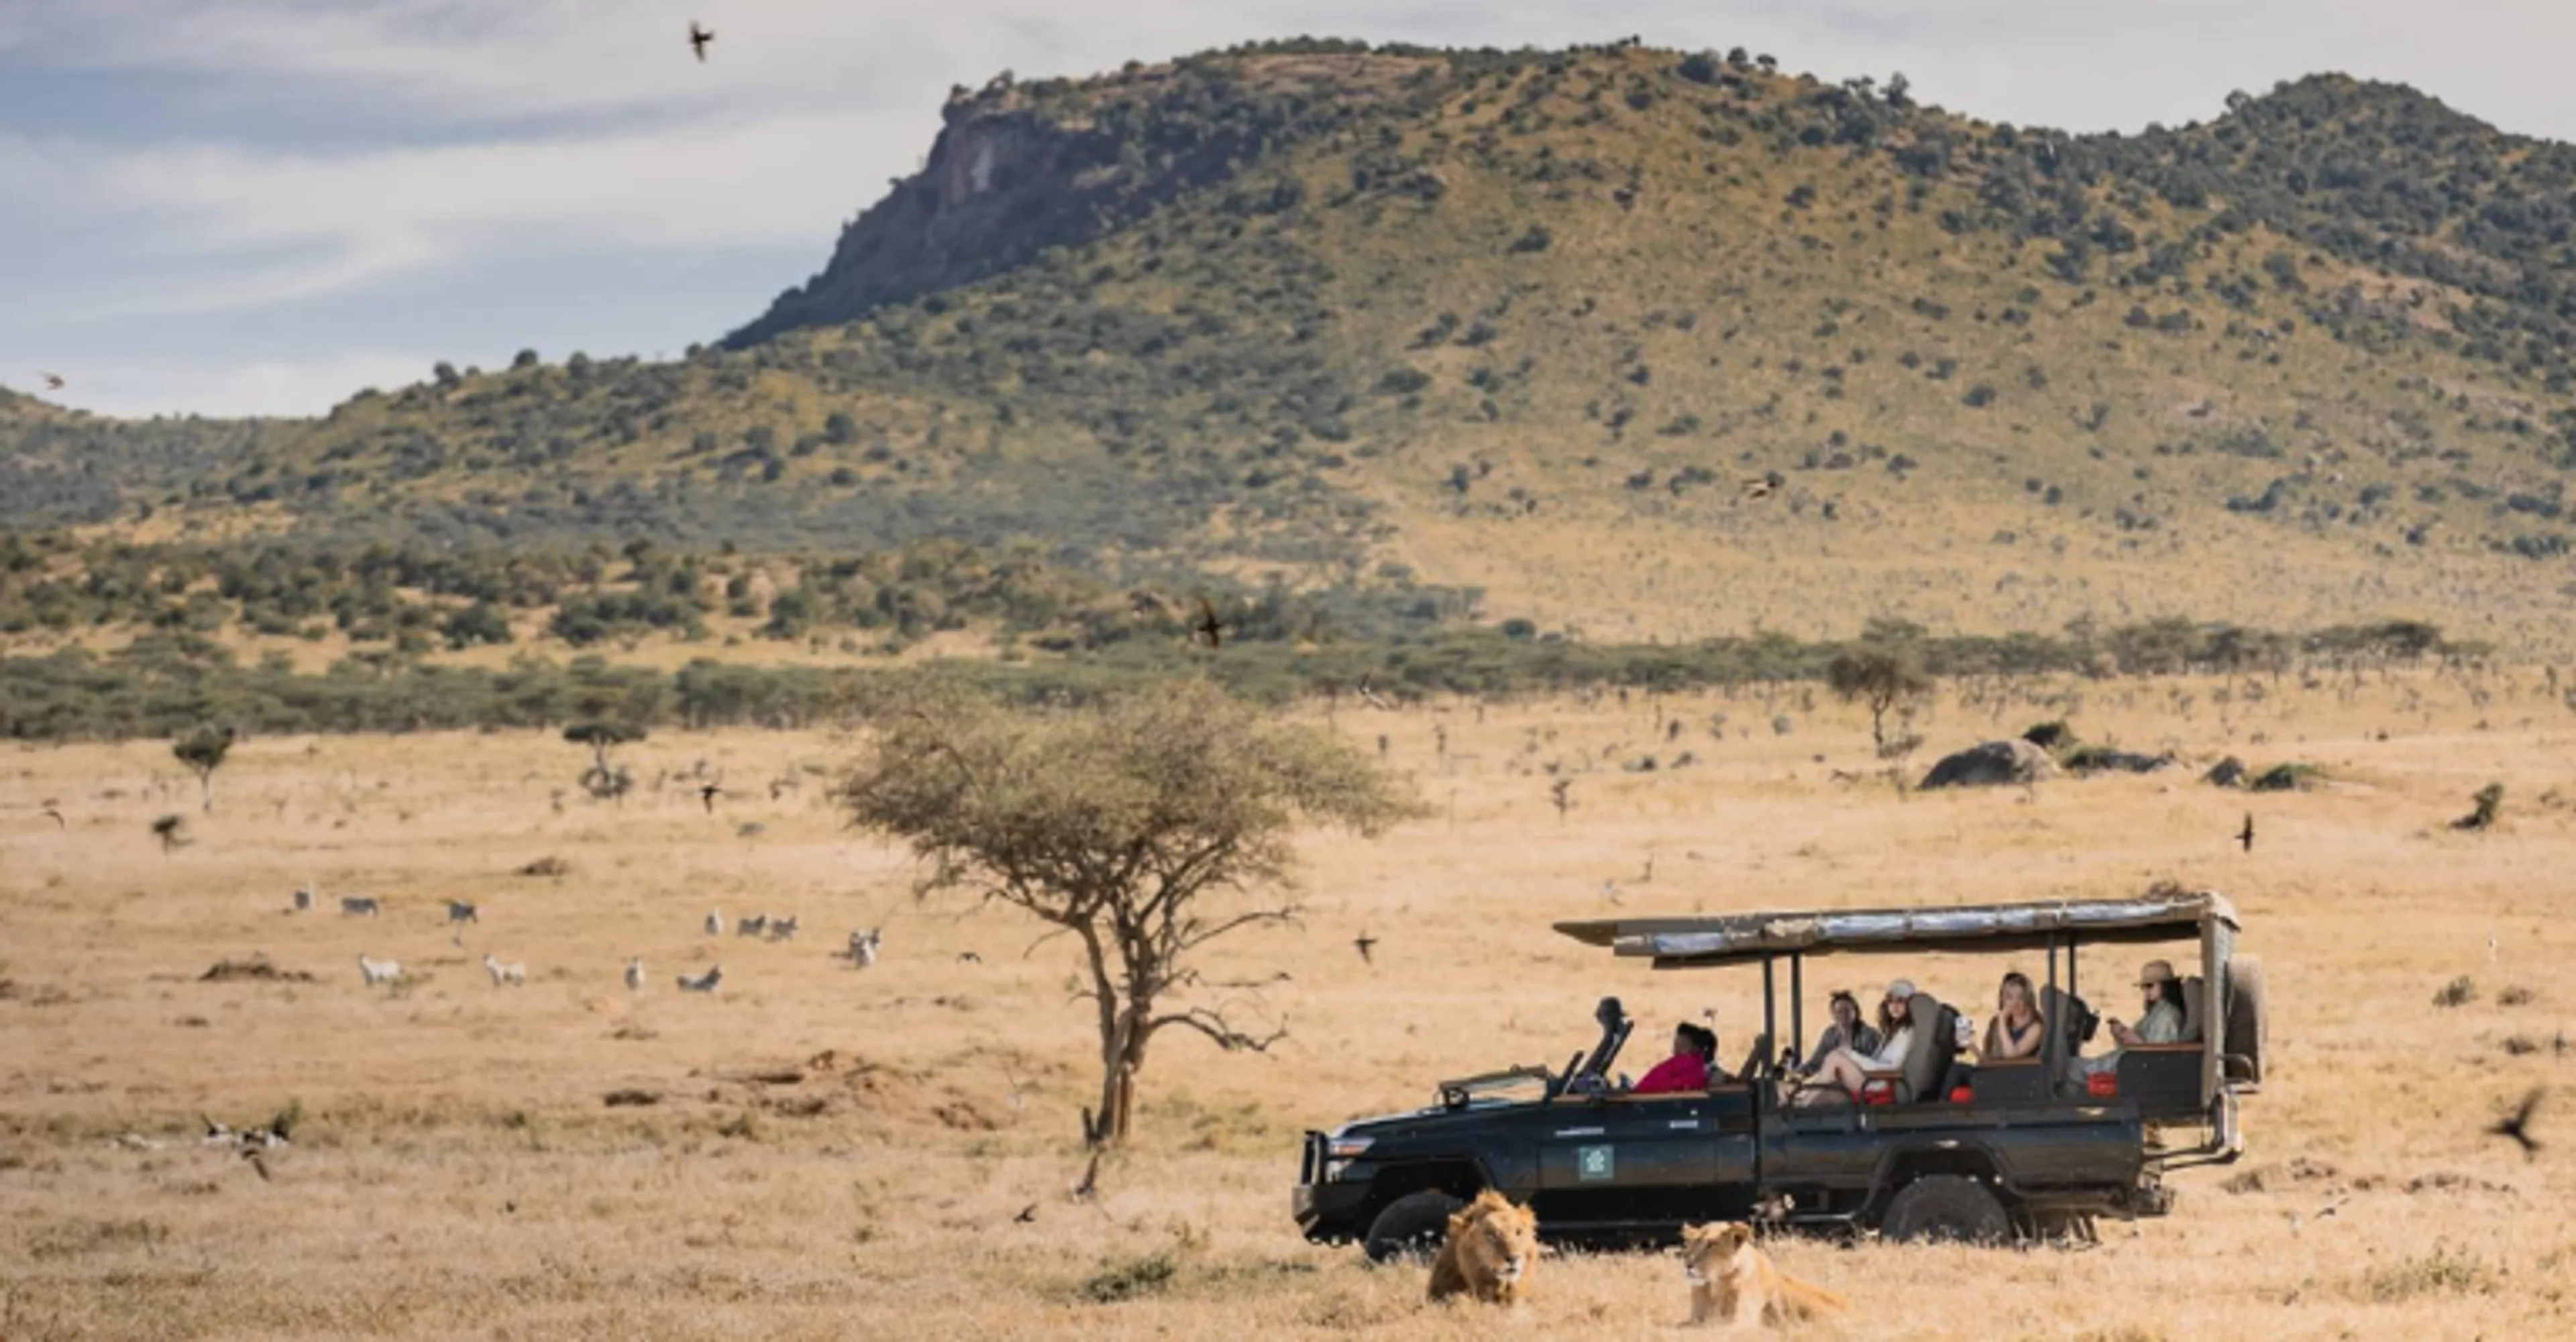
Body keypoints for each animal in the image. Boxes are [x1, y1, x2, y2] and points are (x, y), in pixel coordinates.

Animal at [1681, 1221, 1848, 1328]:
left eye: (1712, 1245)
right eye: (1692, 1244)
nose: (1688, 1264)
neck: (1715, 1284)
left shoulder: (1742, 1320)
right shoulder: (1696, 1318)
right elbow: (1683, 1325)